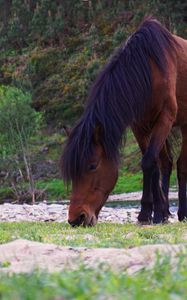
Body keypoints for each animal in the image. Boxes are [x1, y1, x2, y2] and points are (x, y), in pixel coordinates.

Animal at [61, 17, 187, 226]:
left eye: (92, 165)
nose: (76, 219)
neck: (148, 70)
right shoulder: (140, 126)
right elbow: (151, 164)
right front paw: (150, 212)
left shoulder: (165, 118)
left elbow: (148, 162)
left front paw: (154, 214)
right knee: (166, 163)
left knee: (181, 164)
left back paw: (182, 213)